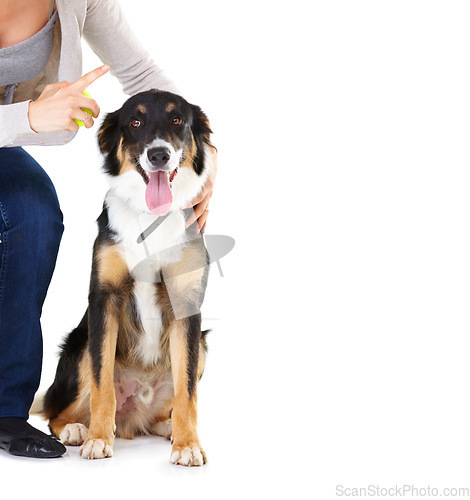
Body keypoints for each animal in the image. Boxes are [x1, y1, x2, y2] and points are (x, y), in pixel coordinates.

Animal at [39, 90, 215, 464]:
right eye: (135, 122)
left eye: (177, 120)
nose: (159, 155)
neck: (151, 216)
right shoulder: (104, 299)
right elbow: (102, 383)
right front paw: (98, 440)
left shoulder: (186, 304)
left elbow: (187, 392)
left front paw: (188, 444)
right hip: (79, 346)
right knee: (56, 411)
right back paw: (76, 429)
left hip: (202, 344)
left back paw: (167, 426)